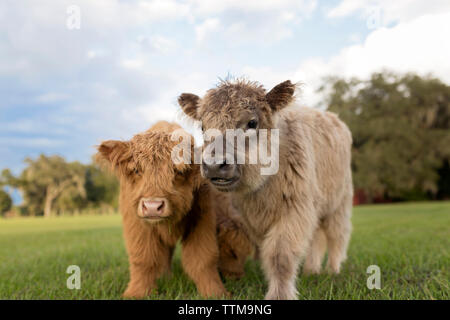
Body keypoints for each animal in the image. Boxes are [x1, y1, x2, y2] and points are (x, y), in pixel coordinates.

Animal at [96, 121, 251, 298]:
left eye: (179, 171)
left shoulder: (202, 220)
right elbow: (143, 258)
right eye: (136, 170)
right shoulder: (137, 223)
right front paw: (137, 293)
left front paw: (215, 292)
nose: (152, 206)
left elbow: (203, 258)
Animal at [178, 80, 354, 300]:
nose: (214, 165)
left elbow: (280, 255)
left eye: (252, 123)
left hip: (340, 203)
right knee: (317, 237)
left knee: (337, 235)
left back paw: (333, 269)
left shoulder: (295, 209)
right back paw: (312, 270)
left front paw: (279, 295)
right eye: (203, 126)